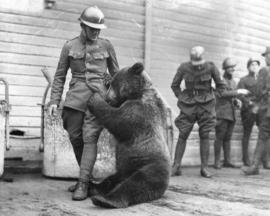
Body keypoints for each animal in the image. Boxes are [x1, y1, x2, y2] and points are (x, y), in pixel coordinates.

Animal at [86, 62, 171, 208]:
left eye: (115, 85)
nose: (108, 98)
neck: (137, 93)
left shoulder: (140, 111)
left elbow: (118, 120)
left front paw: (95, 98)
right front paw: (106, 77)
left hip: (150, 164)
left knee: (137, 183)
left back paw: (105, 200)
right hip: (123, 169)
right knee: (110, 180)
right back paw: (93, 187)